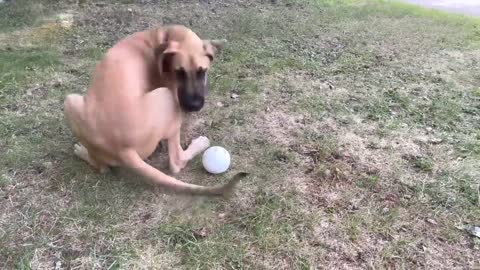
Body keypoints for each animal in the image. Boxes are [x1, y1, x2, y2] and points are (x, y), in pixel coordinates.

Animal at [62, 25, 246, 196]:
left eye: (202, 71)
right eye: (179, 72)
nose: (194, 106)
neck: (163, 36)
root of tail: (122, 149)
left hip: (70, 102)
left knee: (102, 167)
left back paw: (84, 152)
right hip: (166, 96)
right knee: (176, 162)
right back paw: (198, 144)